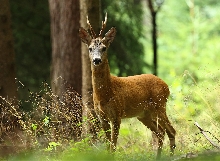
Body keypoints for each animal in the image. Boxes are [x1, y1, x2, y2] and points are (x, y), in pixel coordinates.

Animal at [78, 14, 176, 160]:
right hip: (144, 114)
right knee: (160, 132)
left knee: (170, 131)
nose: (96, 60)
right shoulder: (101, 117)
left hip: (160, 105)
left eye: (104, 48)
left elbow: (113, 146)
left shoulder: (117, 114)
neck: (105, 94)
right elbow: (108, 145)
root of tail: (166, 86)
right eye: (90, 48)